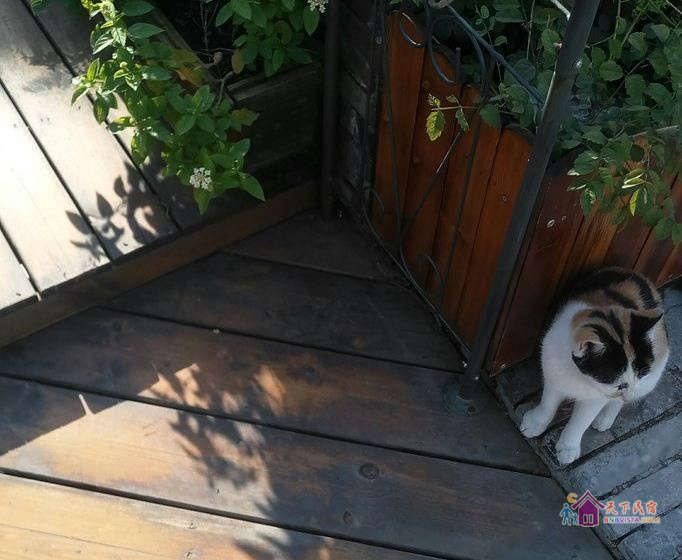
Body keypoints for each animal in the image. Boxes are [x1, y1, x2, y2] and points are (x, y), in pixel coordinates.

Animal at [520, 267, 670, 465]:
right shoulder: (553, 375)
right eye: (619, 385)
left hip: (653, 375)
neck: (579, 377)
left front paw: (568, 447)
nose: (628, 394)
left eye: (641, 374)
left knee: (617, 403)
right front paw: (536, 423)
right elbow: (548, 403)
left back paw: (605, 418)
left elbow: (581, 421)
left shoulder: (598, 397)